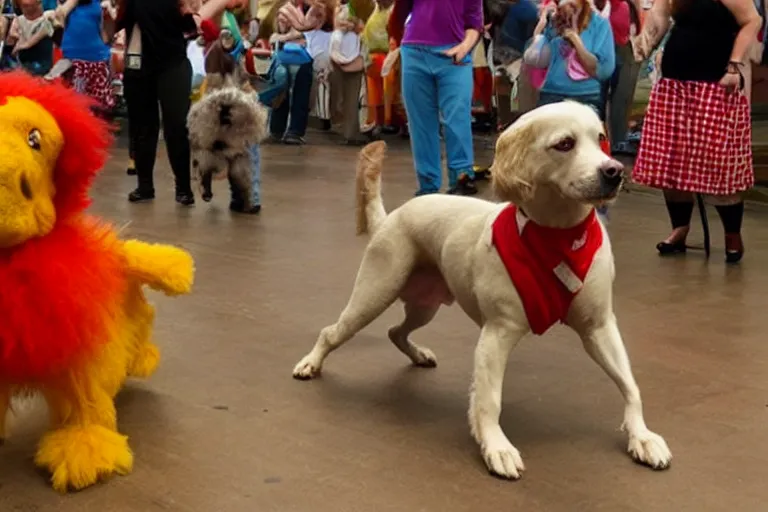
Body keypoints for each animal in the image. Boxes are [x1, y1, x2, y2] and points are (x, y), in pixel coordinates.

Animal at [294, 101, 672, 480]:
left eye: (601, 138)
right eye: (565, 144)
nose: (614, 171)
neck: (557, 237)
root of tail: (391, 217)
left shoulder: (599, 327)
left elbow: (630, 386)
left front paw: (642, 436)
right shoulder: (497, 334)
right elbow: (489, 399)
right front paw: (496, 445)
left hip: (423, 306)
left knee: (395, 331)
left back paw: (417, 354)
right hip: (372, 296)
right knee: (332, 332)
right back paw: (310, 363)